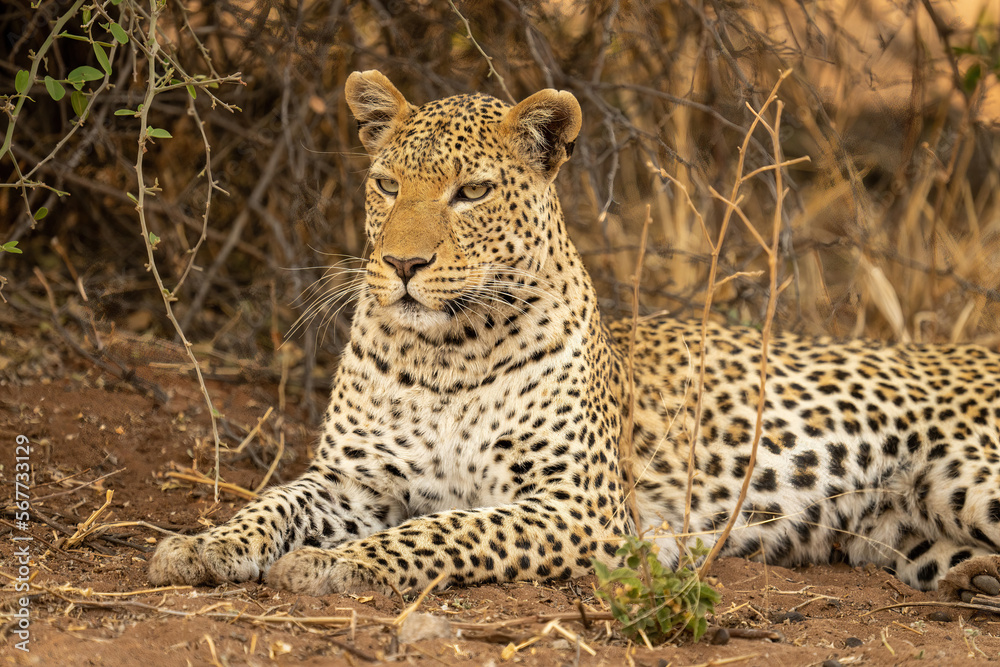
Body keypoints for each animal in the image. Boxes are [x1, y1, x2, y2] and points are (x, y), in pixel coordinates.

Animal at [149, 69, 1000, 604]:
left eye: (472, 192)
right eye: (387, 184)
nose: (402, 263)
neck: (445, 354)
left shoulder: (576, 504)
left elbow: (447, 528)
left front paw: (333, 563)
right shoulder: (351, 479)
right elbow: (272, 502)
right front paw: (201, 546)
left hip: (974, 477)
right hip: (910, 529)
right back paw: (976, 581)